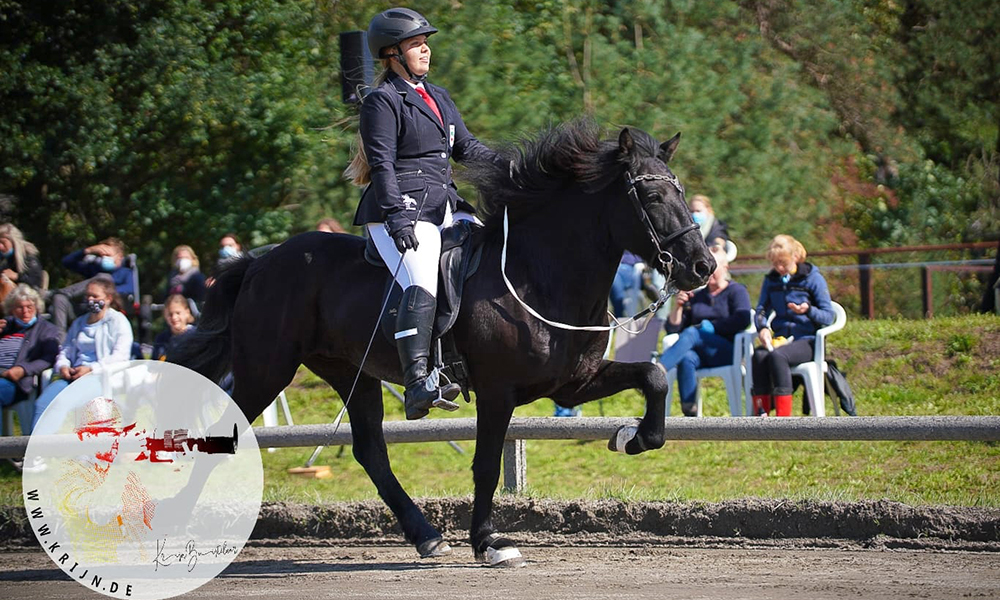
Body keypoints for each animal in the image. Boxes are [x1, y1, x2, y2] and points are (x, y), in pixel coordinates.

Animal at [174, 120, 720, 568]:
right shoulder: (499, 392)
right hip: (266, 370)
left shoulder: (572, 384)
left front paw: (633, 437)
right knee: (225, 432)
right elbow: (485, 465)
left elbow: (654, 376)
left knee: (371, 450)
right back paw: (176, 525)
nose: (703, 267)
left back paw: (426, 536)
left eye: (681, 193)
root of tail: (261, 262)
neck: (541, 273)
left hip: (350, 372)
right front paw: (488, 542)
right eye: (651, 198)